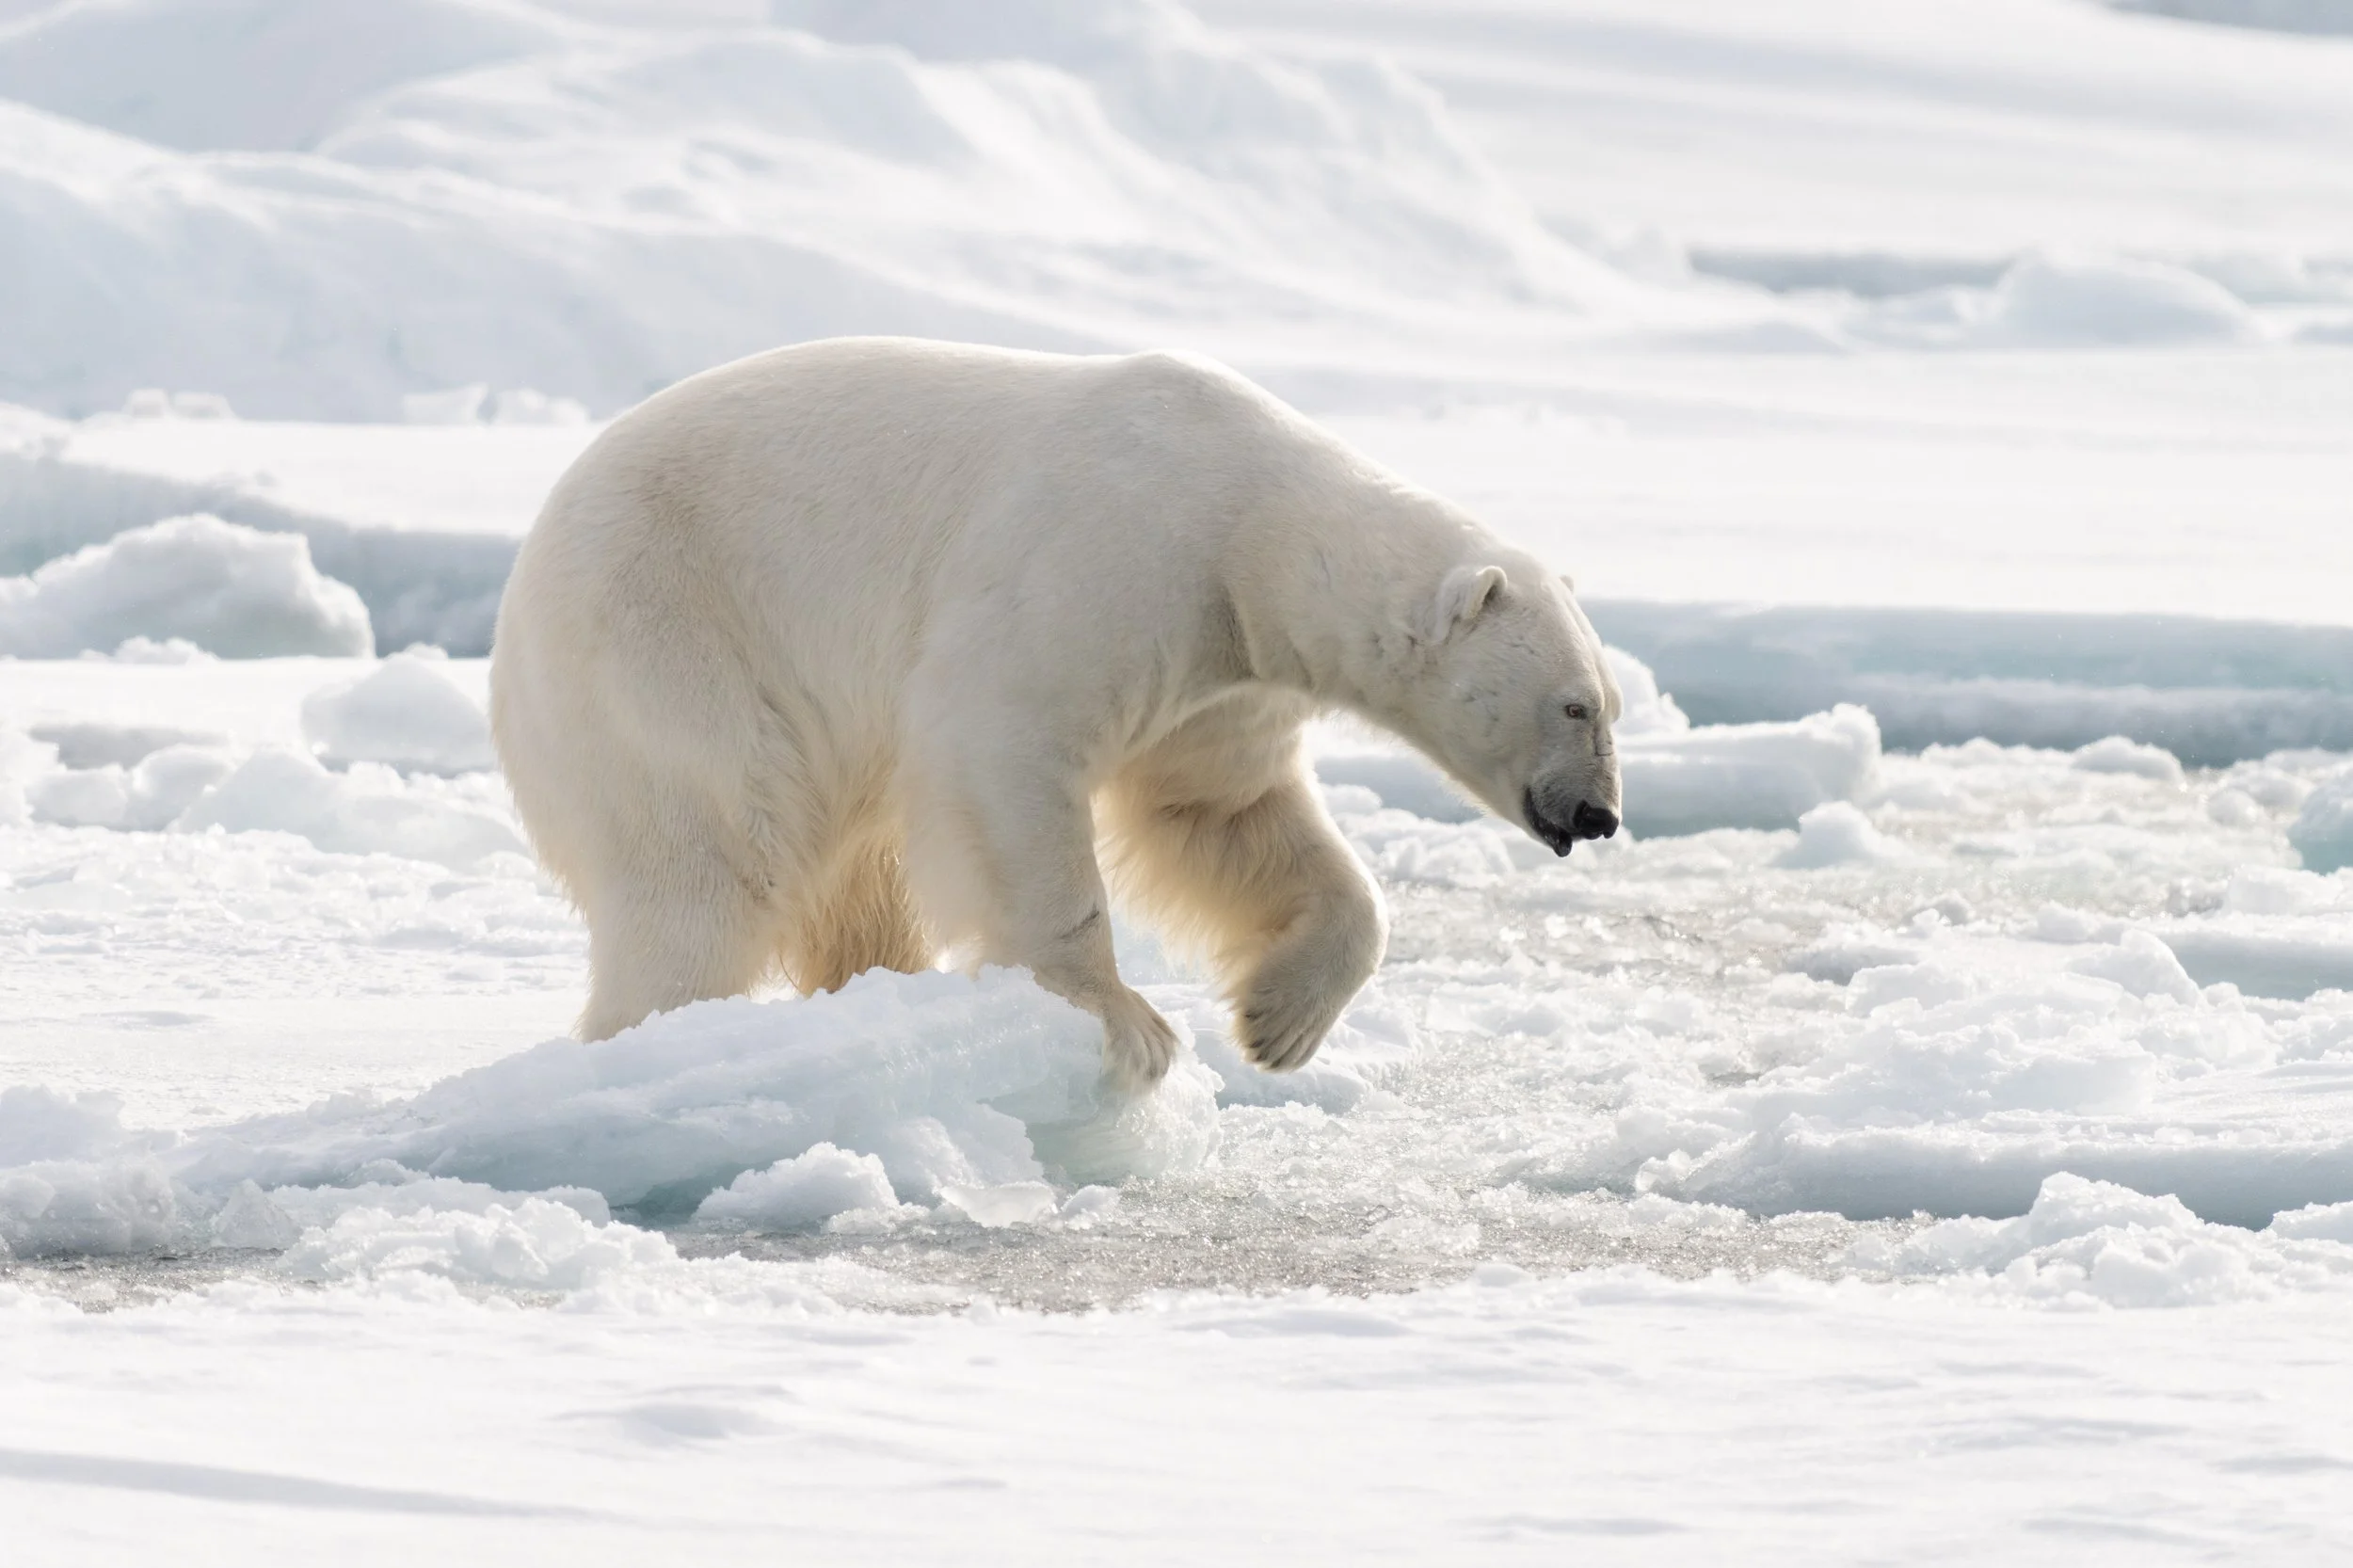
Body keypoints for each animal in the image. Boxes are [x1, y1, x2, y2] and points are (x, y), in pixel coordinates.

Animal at [490, 337, 1622, 1090]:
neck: (1250, 524)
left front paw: (1278, 1024)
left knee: (854, 885)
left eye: (1612, 703)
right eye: (1571, 704)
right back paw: (661, 1040)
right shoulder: (1105, 561)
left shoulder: (1225, 670)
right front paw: (1127, 1026)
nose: (1601, 814)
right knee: (713, 858)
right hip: (666, 641)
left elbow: (1223, 815)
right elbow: (1006, 754)